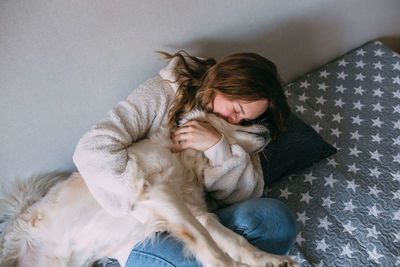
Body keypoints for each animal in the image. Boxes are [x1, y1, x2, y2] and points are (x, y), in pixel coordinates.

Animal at [0, 110, 296, 266]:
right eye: (237, 119)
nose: (270, 130)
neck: (184, 158)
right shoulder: (154, 193)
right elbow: (206, 242)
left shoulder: (194, 211)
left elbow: (233, 239)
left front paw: (269, 259)